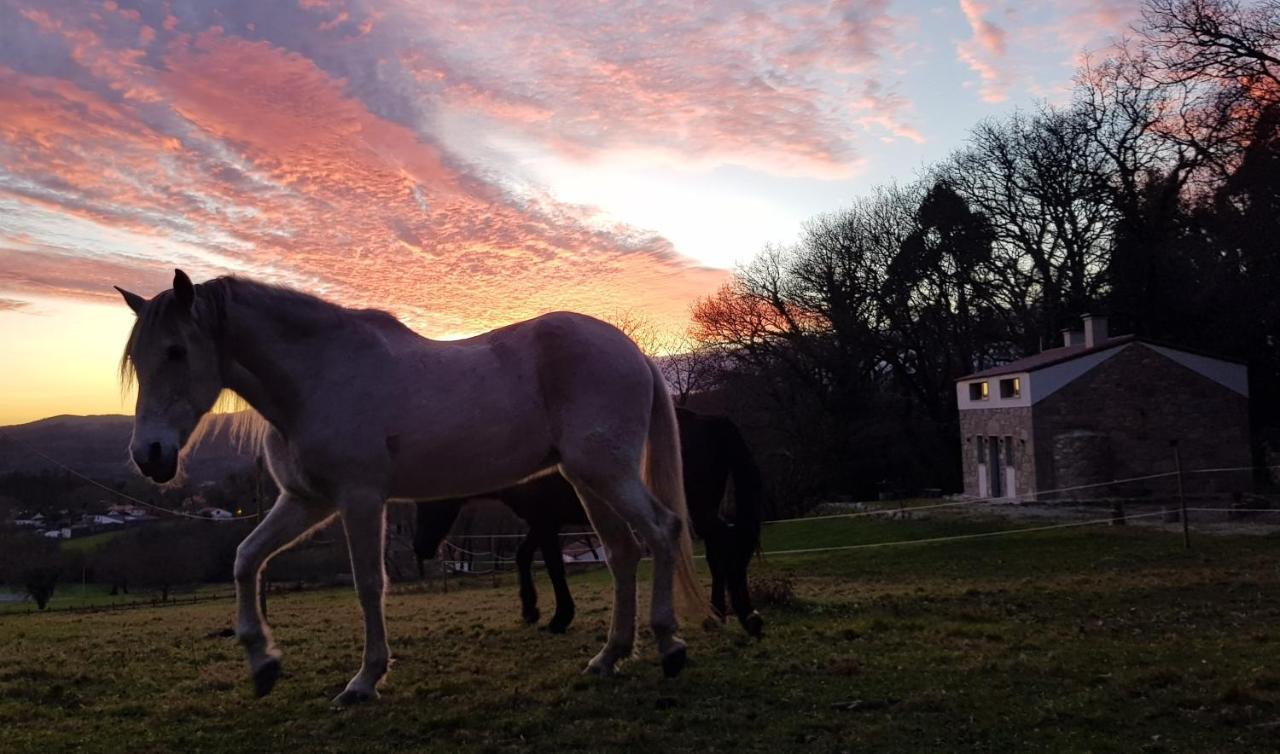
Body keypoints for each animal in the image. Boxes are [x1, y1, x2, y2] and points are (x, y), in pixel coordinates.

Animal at [113, 268, 706, 701]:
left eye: (176, 351)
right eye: (139, 357)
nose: (150, 456)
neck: (316, 379)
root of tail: (632, 351)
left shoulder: (359, 500)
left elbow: (368, 584)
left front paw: (364, 681)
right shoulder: (306, 502)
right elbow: (244, 560)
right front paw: (263, 662)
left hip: (607, 473)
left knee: (662, 530)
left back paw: (669, 645)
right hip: (587, 480)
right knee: (623, 553)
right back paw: (610, 656)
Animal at [414, 404, 762, 634]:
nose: (421, 548)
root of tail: (710, 421)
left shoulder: (545, 523)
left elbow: (553, 566)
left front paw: (560, 617)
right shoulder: (543, 522)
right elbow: (523, 556)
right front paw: (530, 609)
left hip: (698, 510)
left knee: (725, 543)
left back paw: (742, 612)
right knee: (720, 548)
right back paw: (720, 611)